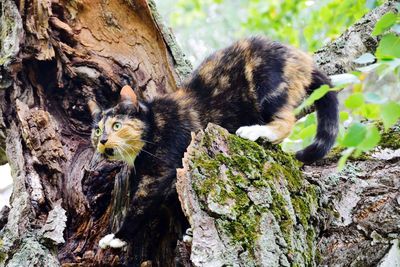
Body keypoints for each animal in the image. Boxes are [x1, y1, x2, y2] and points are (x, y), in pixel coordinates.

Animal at [88, 36, 338, 250]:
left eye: (117, 126)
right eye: (97, 130)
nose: (102, 140)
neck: (153, 125)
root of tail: (300, 57)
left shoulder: (160, 171)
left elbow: (141, 205)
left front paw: (117, 237)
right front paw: (189, 231)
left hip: (266, 83)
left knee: (286, 121)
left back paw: (255, 131)